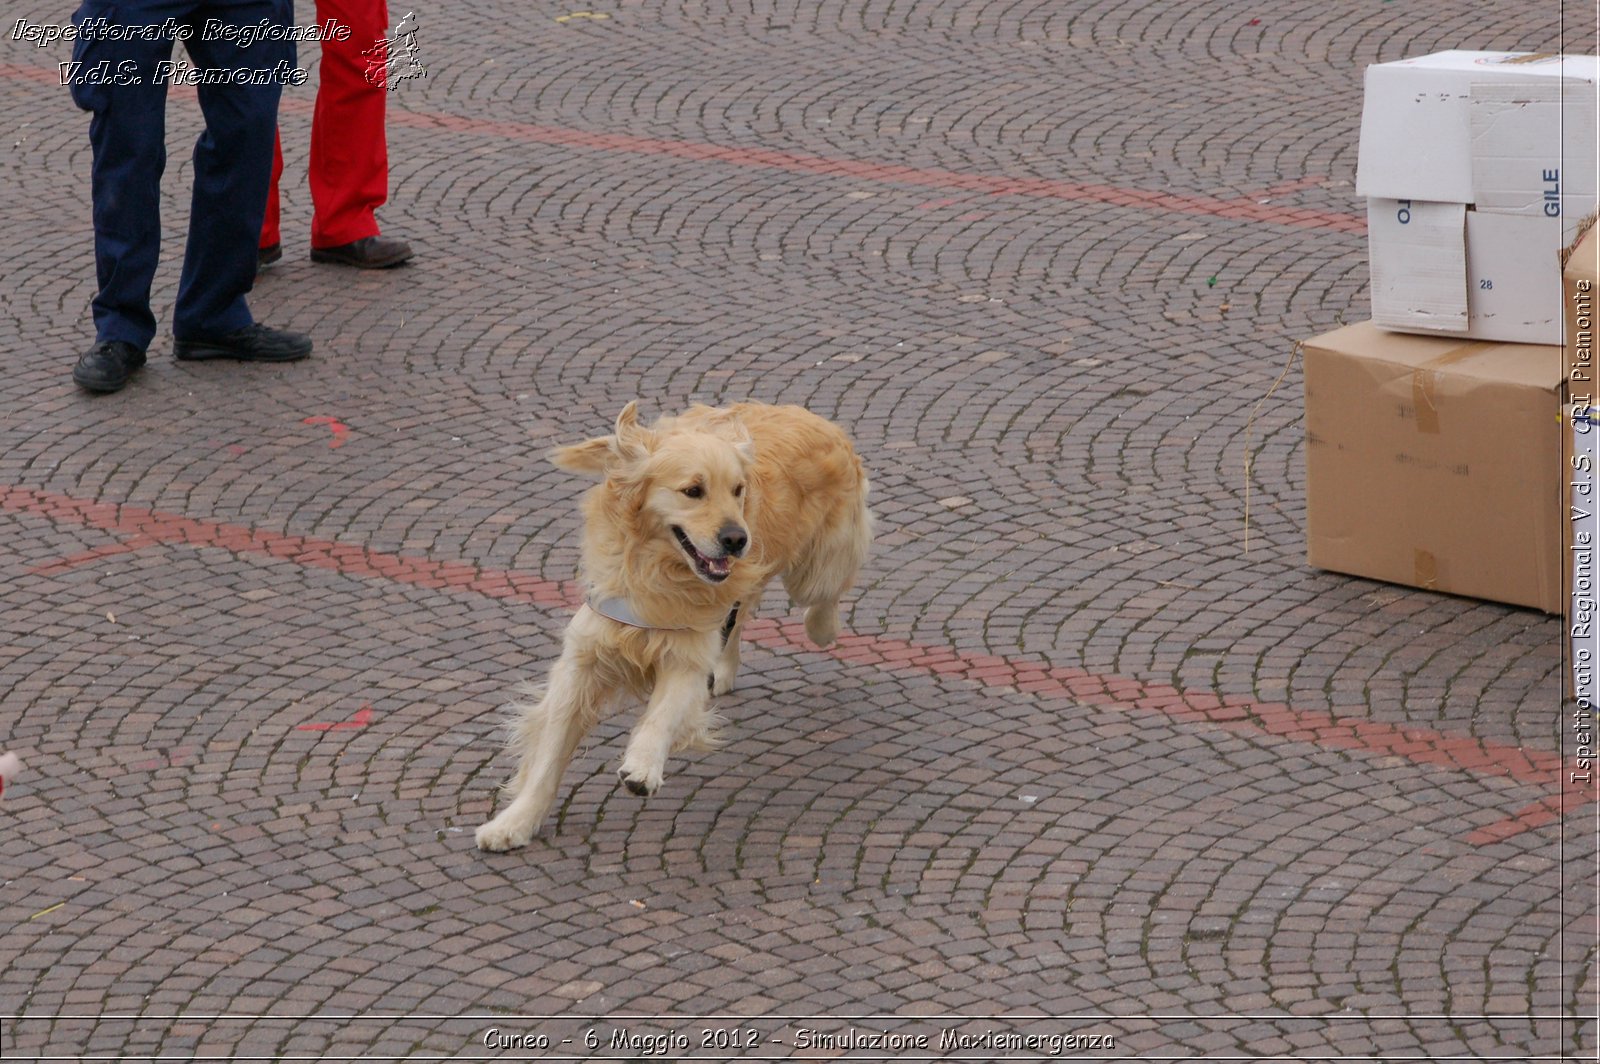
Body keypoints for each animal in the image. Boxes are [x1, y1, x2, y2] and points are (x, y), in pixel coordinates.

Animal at [473, 393, 876, 851]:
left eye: (738, 490)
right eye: (693, 491)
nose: (738, 539)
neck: (656, 571)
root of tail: (801, 411)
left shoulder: (686, 656)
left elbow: (660, 717)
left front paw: (642, 766)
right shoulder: (585, 658)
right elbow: (548, 752)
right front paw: (515, 821)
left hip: (816, 565)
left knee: (822, 596)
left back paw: (821, 627)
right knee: (739, 616)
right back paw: (726, 668)